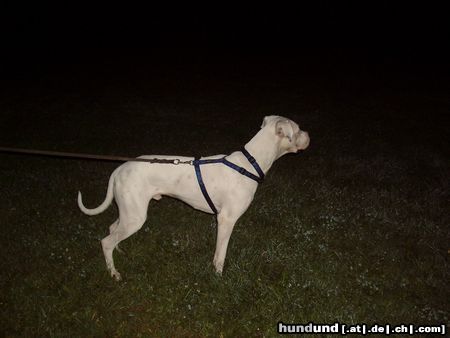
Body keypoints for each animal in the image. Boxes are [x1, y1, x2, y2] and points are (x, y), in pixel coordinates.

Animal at [77, 116, 310, 280]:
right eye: (298, 130)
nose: (309, 135)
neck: (250, 163)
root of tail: (119, 169)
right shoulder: (226, 220)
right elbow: (220, 254)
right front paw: (218, 276)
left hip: (129, 211)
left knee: (112, 229)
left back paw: (119, 250)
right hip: (135, 217)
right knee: (106, 241)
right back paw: (113, 272)